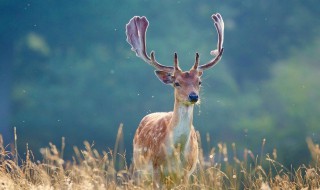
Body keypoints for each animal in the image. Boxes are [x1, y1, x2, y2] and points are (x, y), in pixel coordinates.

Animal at [125, 12, 225, 188]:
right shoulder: (156, 169)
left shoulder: (185, 173)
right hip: (139, 170)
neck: (175, 152)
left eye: (199, 82)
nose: (193, 96)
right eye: (177, 83)